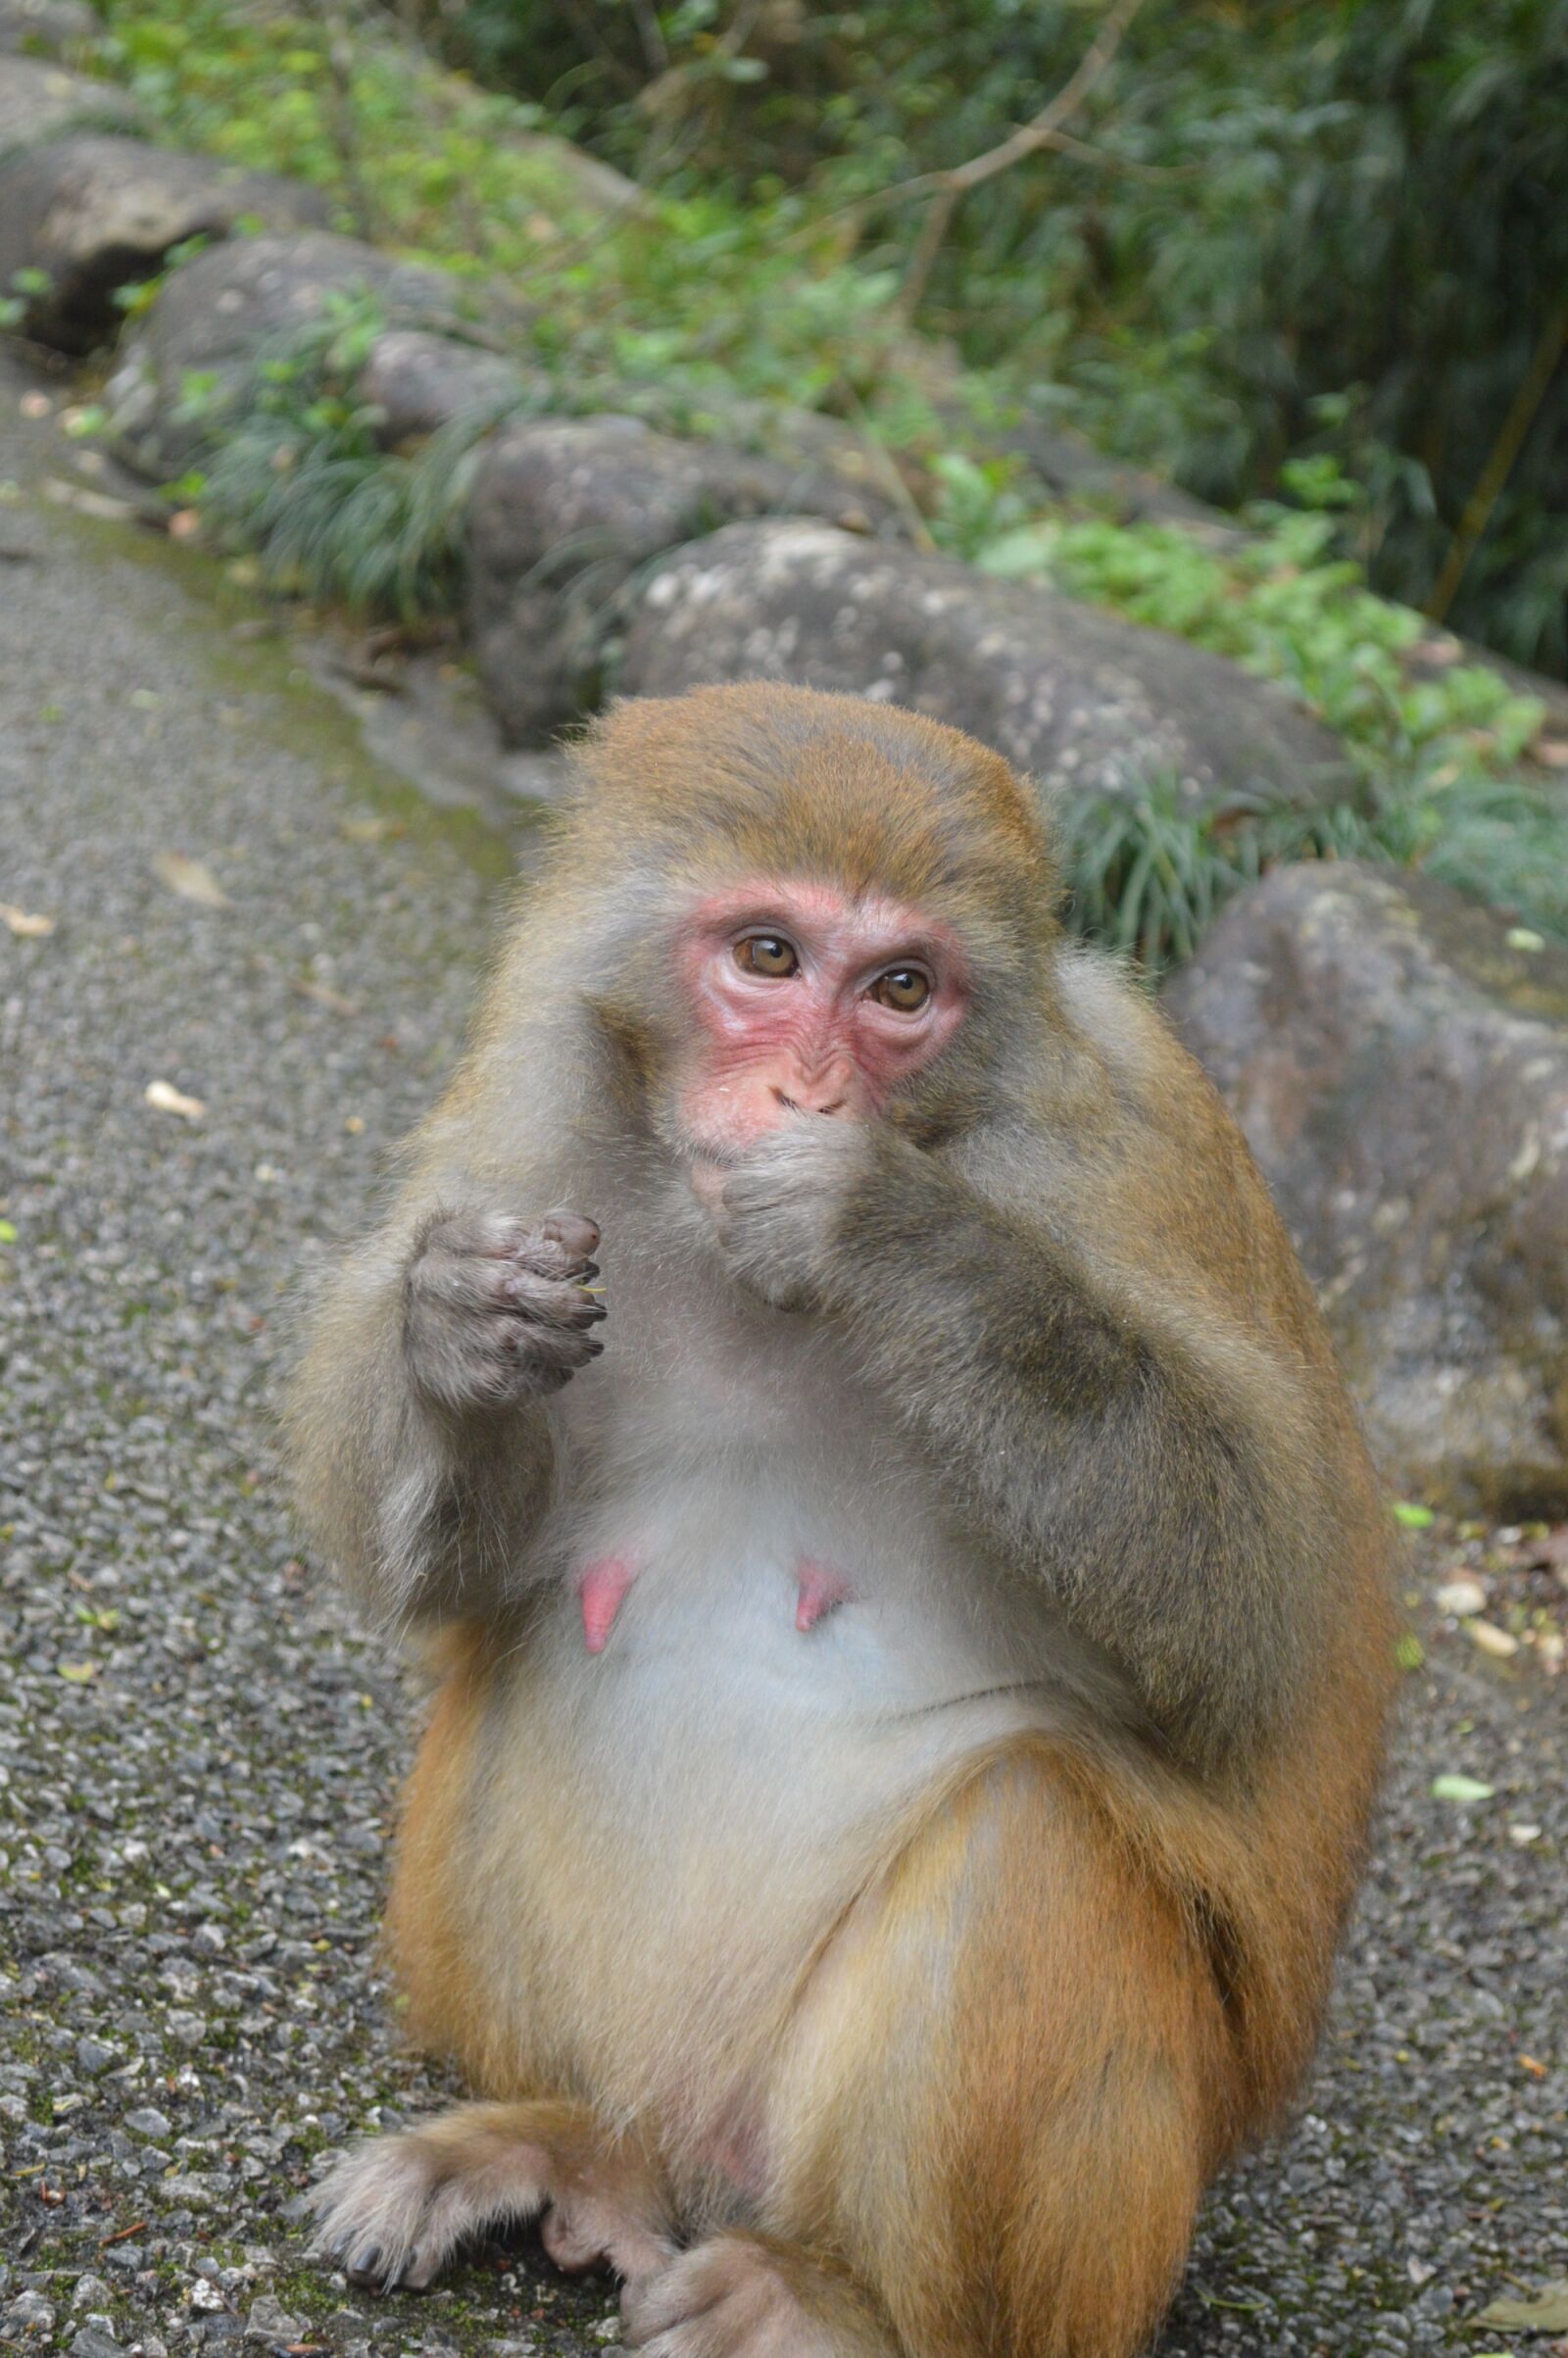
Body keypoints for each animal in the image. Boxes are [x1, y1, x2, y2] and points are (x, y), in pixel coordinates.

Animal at [286, 683, 1396, 2358]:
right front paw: (456, 1329)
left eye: (900, 990)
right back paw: (553, 2140)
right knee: (521, 1665)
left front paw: (874, 1218)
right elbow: (459, 1569)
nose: (809, 1092)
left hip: (1068, 2229)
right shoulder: (539, 1117)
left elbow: (1259, 1598)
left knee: (1028, 1832)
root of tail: (695, 2161)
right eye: (767, 956)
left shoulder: (1131, 1138)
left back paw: (842, 2303)